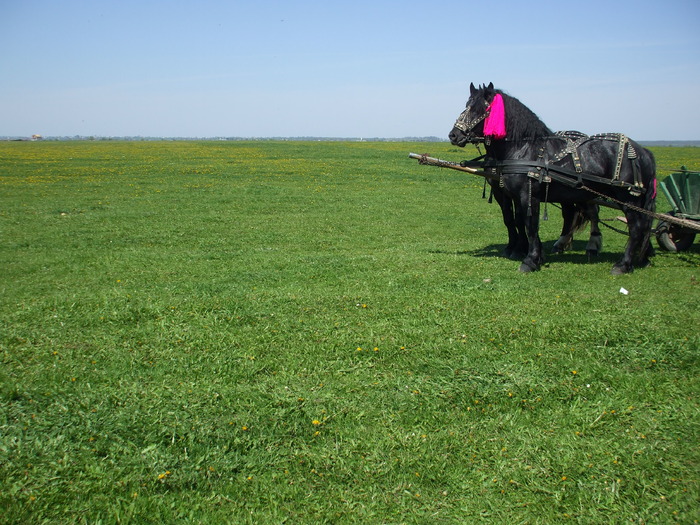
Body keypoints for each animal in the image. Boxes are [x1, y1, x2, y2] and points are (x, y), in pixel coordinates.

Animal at [448, 83, 656, 274]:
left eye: (479, 109)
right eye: (467, 105)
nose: (454, 135)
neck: (524, 149)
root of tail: (643, 151)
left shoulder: (528, 195)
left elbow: (530, 225)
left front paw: (530, 260)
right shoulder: (510, 194)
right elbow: (516, 220)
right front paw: (528, 252)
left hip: (626, 199)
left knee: (634, 227)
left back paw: (621, 264)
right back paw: (642, 256)